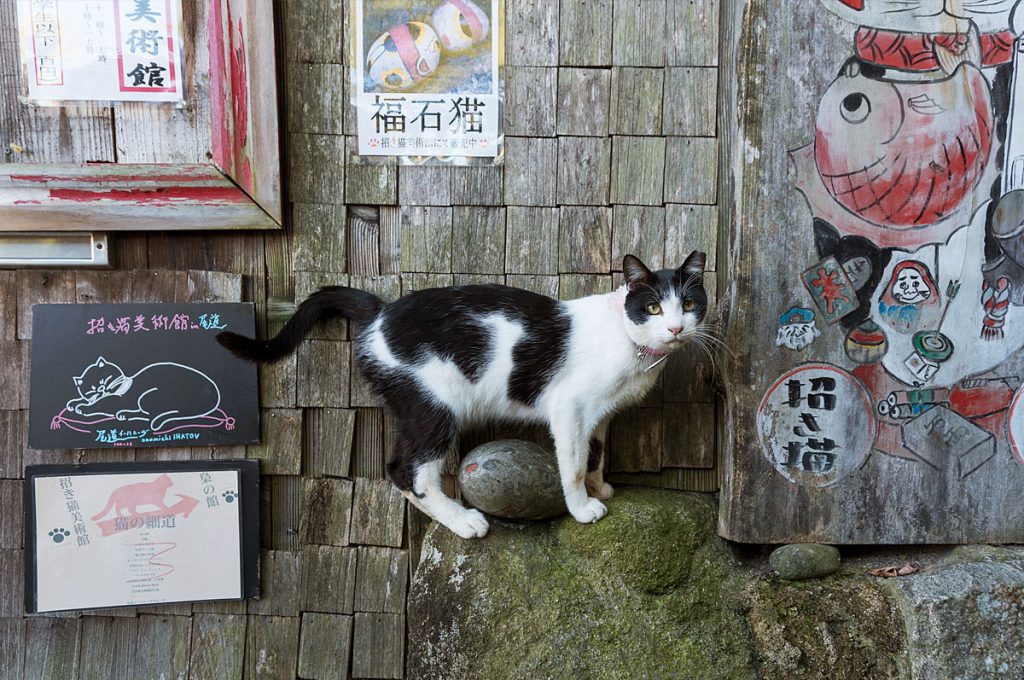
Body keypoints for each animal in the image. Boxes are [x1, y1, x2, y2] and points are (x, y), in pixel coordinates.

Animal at [219, 251, 708, 540]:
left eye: (688, 305)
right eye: (652, 307)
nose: (675, 328)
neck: (627, 339)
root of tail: (381, 312)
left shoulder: (599, 415)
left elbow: (595, 453)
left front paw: (597, 486)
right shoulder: (568, 409)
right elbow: (570, 464)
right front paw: (581, 507)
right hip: (433, 408)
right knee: (405, 471)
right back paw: (462, 520)